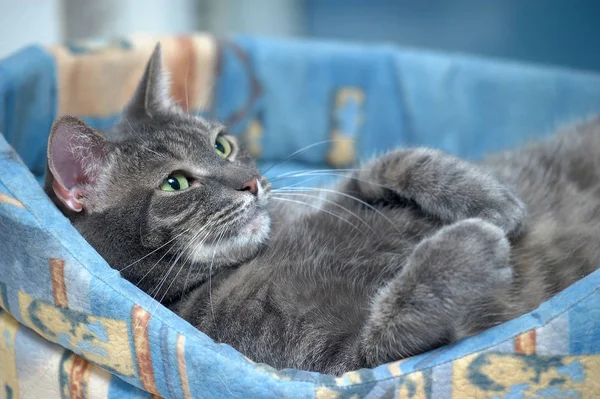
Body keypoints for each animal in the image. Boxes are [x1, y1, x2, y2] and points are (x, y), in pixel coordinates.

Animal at [44, 45, 600, 376]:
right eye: (175, 183)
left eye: (221, 145)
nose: (251, 183)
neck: (245, 265)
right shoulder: (343, 364)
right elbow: (395, 320)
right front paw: (473, 243)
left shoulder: (344, 193)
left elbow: (387, 163)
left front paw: (492, 198)